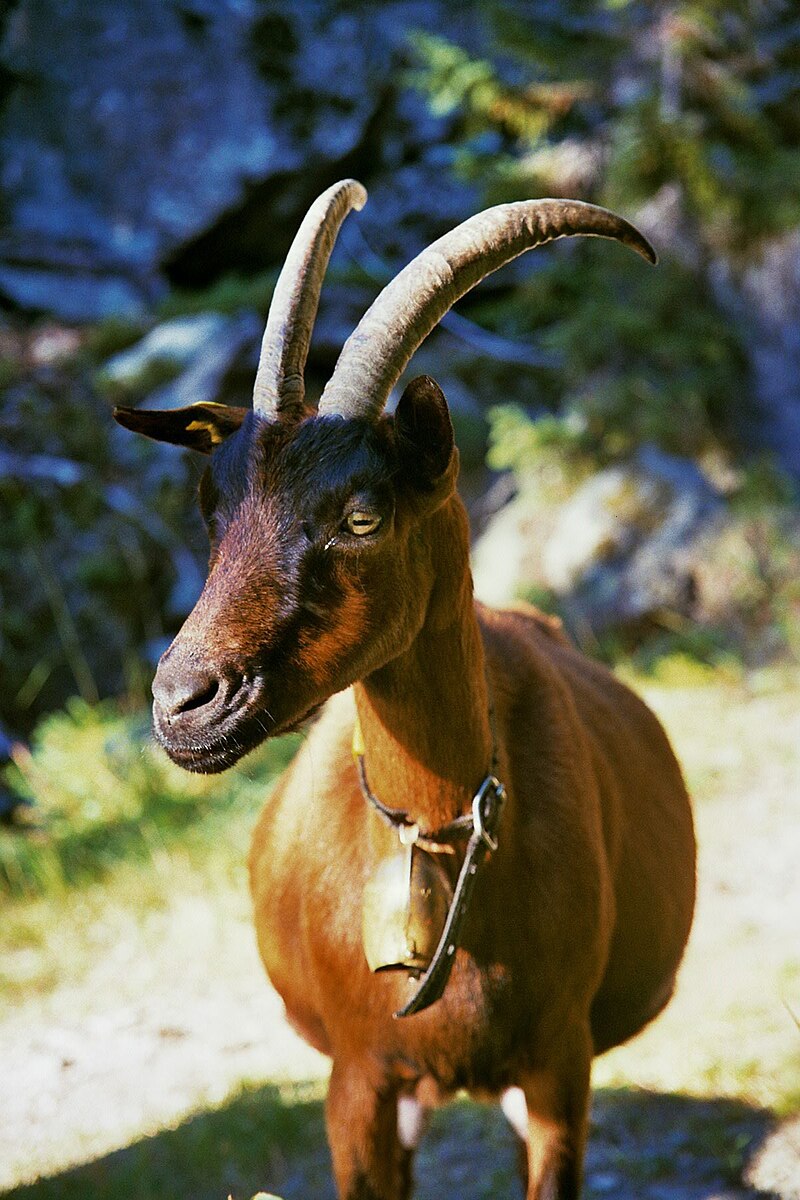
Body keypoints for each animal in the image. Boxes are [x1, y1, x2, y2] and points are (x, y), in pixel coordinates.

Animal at [115, 180, 695, 1200]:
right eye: (212, 509)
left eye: (362, 517)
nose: (185, 703)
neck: (435, 832)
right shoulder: (359, 1081)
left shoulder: (561, 1067)